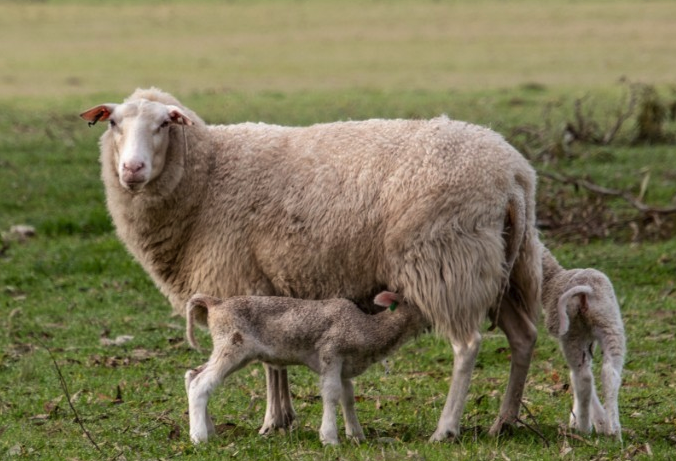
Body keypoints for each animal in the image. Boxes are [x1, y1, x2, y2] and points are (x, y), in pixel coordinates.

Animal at [184, 290, 428, 444]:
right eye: (417, 301)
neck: (368, 328)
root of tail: (215, 303)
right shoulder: (330, 353)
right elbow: (331, 393)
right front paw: (330, 438)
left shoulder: (345, 366)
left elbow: (348, 397)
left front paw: (356, 436)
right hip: (231, 346)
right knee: (201, 384)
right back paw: (199, 438)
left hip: (229, 350)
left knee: (192, 375)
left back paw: (209, 430)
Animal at [540, 246, 624, 440]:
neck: (551, 280)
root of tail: (584, 294)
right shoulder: (588, 340)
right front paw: (601, 423)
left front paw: (583, 420)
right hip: (610, 324)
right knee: (609, 373)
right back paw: (615, 431)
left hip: (571, 332)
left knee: (582, 377)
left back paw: (584, 428)